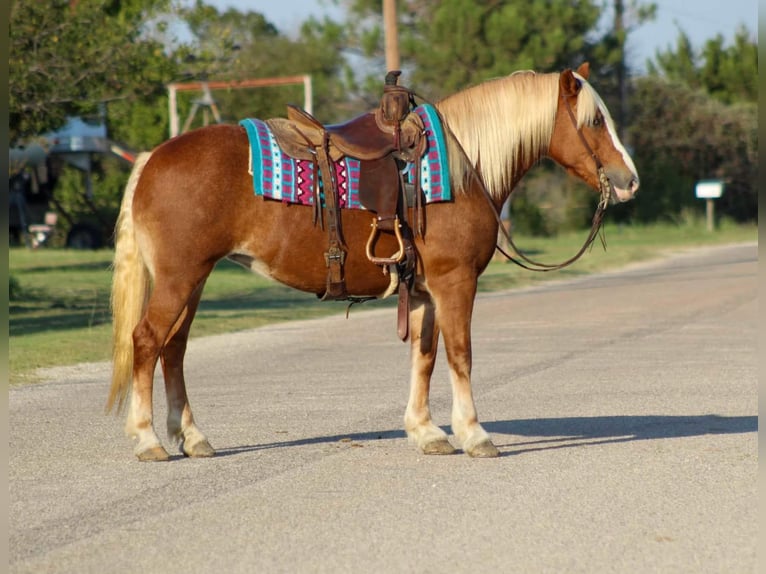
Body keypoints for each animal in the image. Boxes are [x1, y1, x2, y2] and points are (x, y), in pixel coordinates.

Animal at [105, 63, 640, 464]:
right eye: (595, 122)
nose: (629, 180)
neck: (463, 168)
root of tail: (153, 158)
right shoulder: (456, 283)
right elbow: (460, 354)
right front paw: (474, 434)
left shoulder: (424, 292)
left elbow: (425, 357)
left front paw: (426, 432)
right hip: (180, 278)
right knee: (147, 341)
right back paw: (149, 439)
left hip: (192, 281)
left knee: (174, 350)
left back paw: (192, 438)